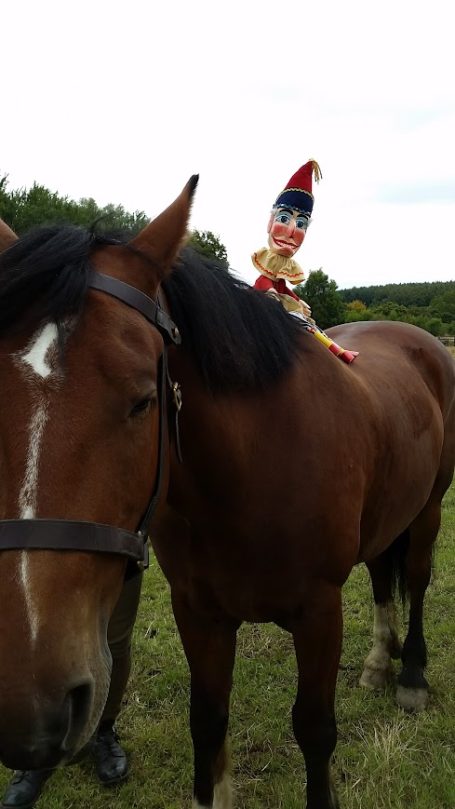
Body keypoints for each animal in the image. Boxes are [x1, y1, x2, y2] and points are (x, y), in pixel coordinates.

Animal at [0, 186, 455, 808]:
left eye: (143, 399)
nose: (29, 706)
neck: (252, 472)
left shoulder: (320, 612)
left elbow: (315, 728)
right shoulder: (198, 612)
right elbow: (208, 720)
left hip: (429, 509)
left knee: (416, 579)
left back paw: (409, 676)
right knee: (384, 577)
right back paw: (378, 665)